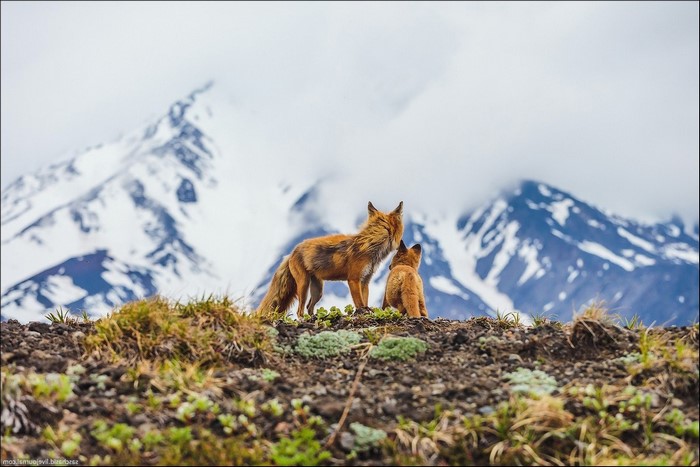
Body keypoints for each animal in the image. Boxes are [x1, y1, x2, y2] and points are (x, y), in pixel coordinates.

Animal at [257, 201, 404, 319]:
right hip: (303, 285)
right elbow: (360, 303)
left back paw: (314, 318)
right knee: (300, 310)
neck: (370, 247)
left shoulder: (365, 281)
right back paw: (303, 320)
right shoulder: (353, 279)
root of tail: (292, 252)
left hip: (318, 291)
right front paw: (363, 312)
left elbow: (365, 300)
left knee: (309, 307)